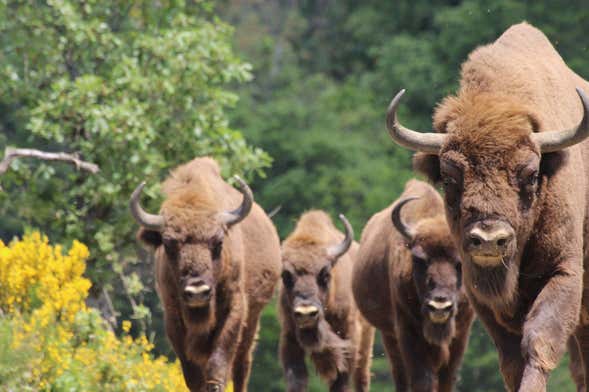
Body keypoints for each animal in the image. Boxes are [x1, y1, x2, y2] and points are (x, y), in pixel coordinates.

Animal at [130, 158, 282, 390]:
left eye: (218, 242)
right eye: (168, 243)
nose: (197, 290)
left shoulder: (235, 309)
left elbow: (218, 364)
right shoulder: (173, 316)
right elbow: (192, 374)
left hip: (253, 318)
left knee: (242, 364)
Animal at [280, 211, 372, 392]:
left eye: (325, 274)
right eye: (286, 276)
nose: (306, 312)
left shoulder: (349, 337)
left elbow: (341, 380)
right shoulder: (290, 337)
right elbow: (297, 379)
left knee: (361, 377)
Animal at [350, 179, 474, 390]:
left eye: (460, 262)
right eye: (419, 259)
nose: (439, 305)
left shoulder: (461, 332)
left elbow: (447, 378)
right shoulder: (407, 330)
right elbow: (421, 377)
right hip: (388, 334)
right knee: (400, 373)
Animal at [386, 23, 588, 390]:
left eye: (531, 174)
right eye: (449, 177)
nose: (489, 239)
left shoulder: (564, 272)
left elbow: (539, 340)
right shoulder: (479, 292)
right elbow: (510, 358)